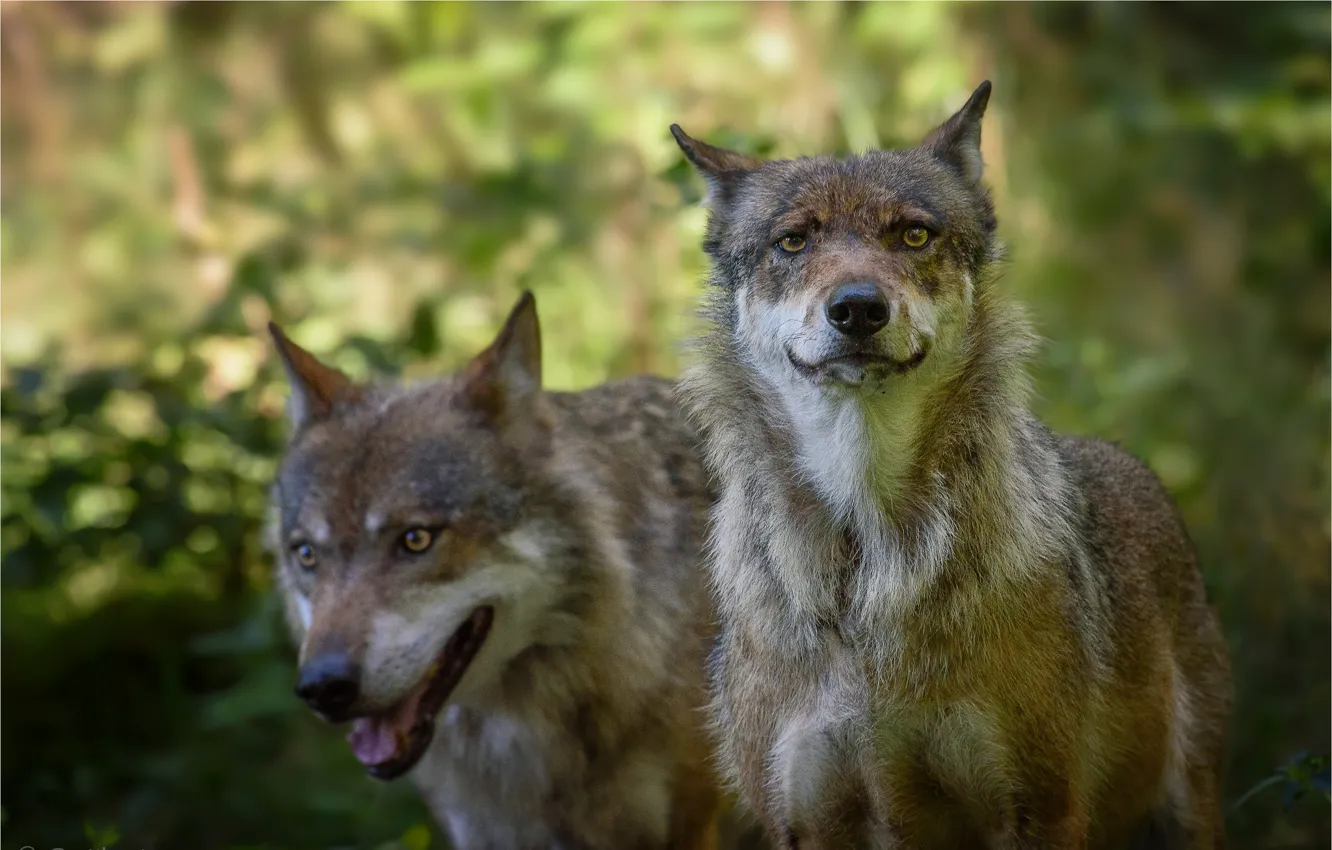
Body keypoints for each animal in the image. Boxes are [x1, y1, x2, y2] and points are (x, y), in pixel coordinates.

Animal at [670, 81, 1233, 849]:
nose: (857, 308)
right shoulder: (804, 821)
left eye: (913, 235)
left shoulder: (1041, 807)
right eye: (794, 241)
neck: (868, 569)